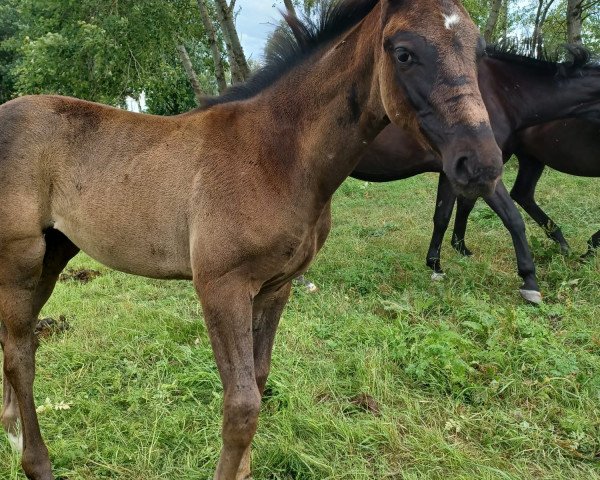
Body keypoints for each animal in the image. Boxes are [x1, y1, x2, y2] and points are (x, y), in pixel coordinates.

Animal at [0, 1, 502, 478]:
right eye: (403, 53)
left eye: (478, 51)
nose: (482, 164)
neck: (275, 155)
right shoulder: (221, 288)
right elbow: (241, 406)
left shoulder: (275, 288)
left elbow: (258, 381)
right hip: (20, 261)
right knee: (22, 353)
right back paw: (34, 460)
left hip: (53, 255)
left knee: (15, 342)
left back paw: (11, 430)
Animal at [352, 44, 596, 300]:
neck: (499, 95)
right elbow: (513, 218)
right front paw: (529, 279)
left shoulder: (452, 173)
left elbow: (442, 216)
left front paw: (436, 265)